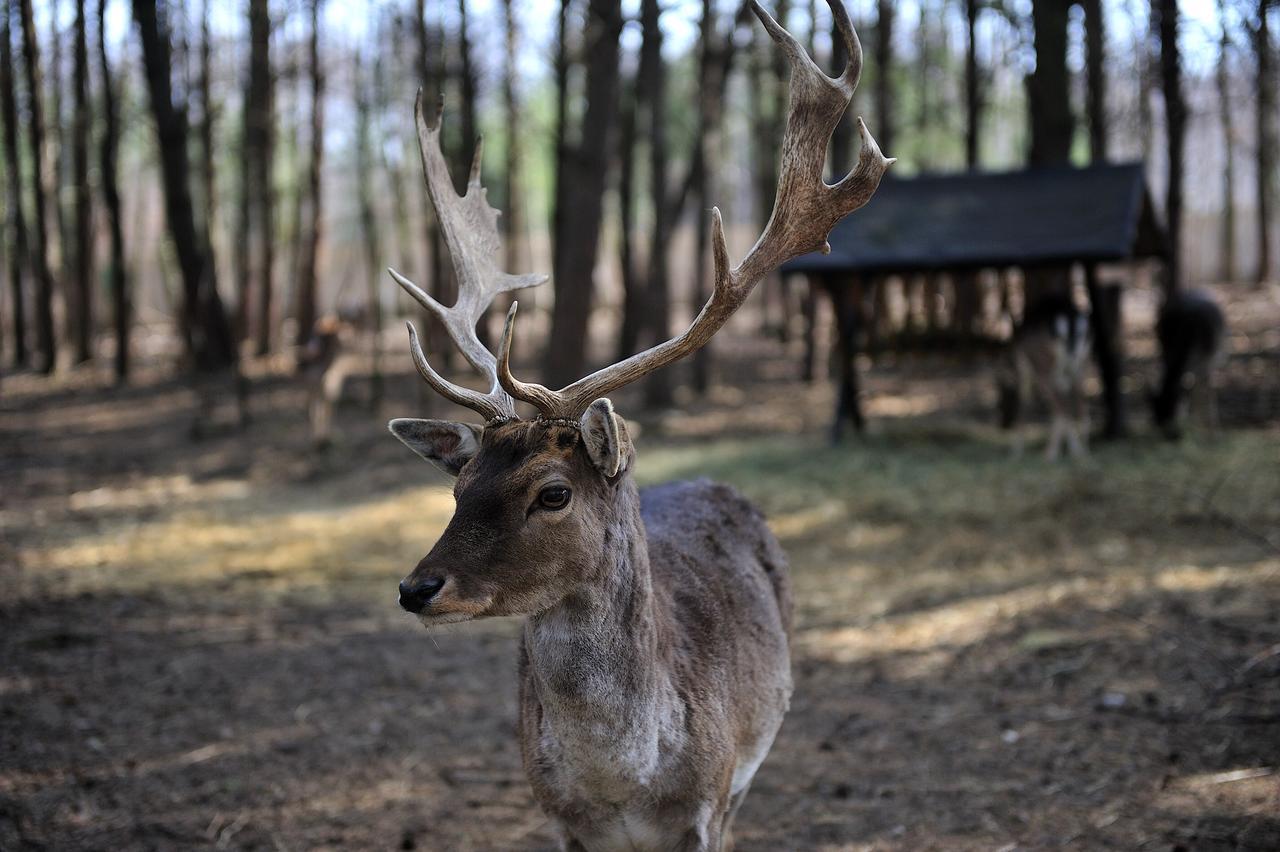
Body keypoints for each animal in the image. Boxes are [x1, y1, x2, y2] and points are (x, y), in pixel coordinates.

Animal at [384, 3, 896, 844]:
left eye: (553, 493)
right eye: (458, 487)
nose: (417, 587)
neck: (623, 788)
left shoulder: (709, 805)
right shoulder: (558, 819)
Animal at [993, 290, 1095, 457]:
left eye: (1000, 385)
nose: (1003, 422)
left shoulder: (1025, 371)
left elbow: (1024, 406)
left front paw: (1016, 452)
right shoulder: (1062, 377)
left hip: (1045, 369)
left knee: (1060, 407)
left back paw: (1051, 454)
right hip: (1081, 364)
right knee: (1080, 406)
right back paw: (1083, 452)